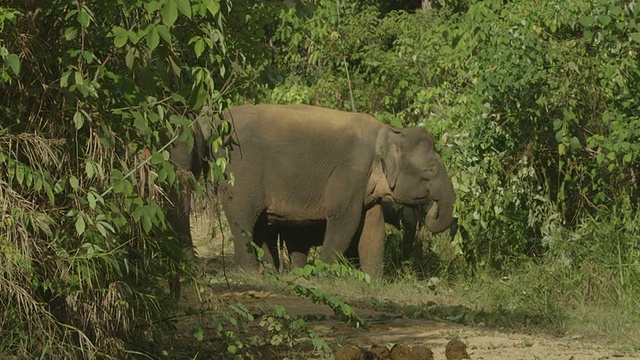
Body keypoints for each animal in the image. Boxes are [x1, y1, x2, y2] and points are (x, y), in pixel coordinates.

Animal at [220, 104, 456, 278]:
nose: (432, 208)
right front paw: (322, 275)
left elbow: (373, 226)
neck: (389, 131)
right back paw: (251, 273)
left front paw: (372, 281)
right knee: (242, 220)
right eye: (431, 170)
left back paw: (272, 274)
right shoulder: (350, 172)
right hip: (240, 174)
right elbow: (345, 221)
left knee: (261, 226)